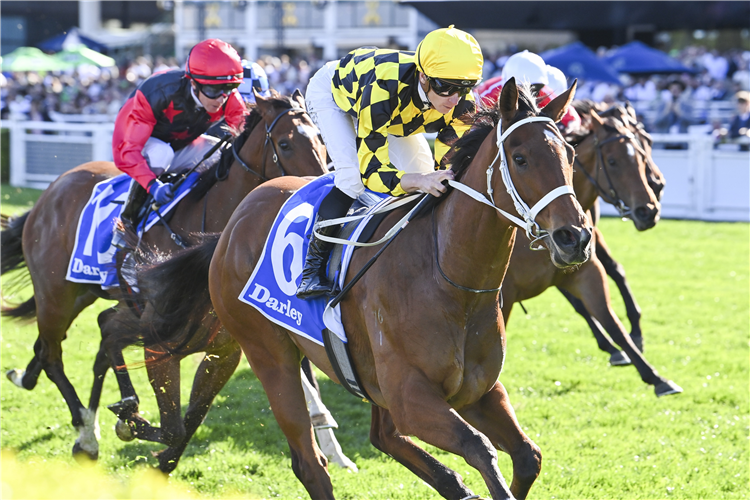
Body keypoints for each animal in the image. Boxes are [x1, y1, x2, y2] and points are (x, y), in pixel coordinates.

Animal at [0, 91, 328, 460]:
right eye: (285, 144)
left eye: (321, 139)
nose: (317, 190)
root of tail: (51, 190)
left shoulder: (224, 341)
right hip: (56, 293)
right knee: (54, 355)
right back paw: (85, 432)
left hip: (85, 293)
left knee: (58, 347)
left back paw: (40, 386)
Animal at [128, 76, 592, 498]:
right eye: (520, 157)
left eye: (570, 153)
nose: (575, 237)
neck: (450, 278)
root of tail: (232, 224)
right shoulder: (411, 398)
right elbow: (480, 449)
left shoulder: (480, 391)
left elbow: (528, 456)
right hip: (267, 353)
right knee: (310, 463)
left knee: (383, 437)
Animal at [502, 107, 684, 396]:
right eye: (612, 161)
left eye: (645, 145)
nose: (649, 209)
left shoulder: (584, 262)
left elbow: (610, 308)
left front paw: (647, 366)